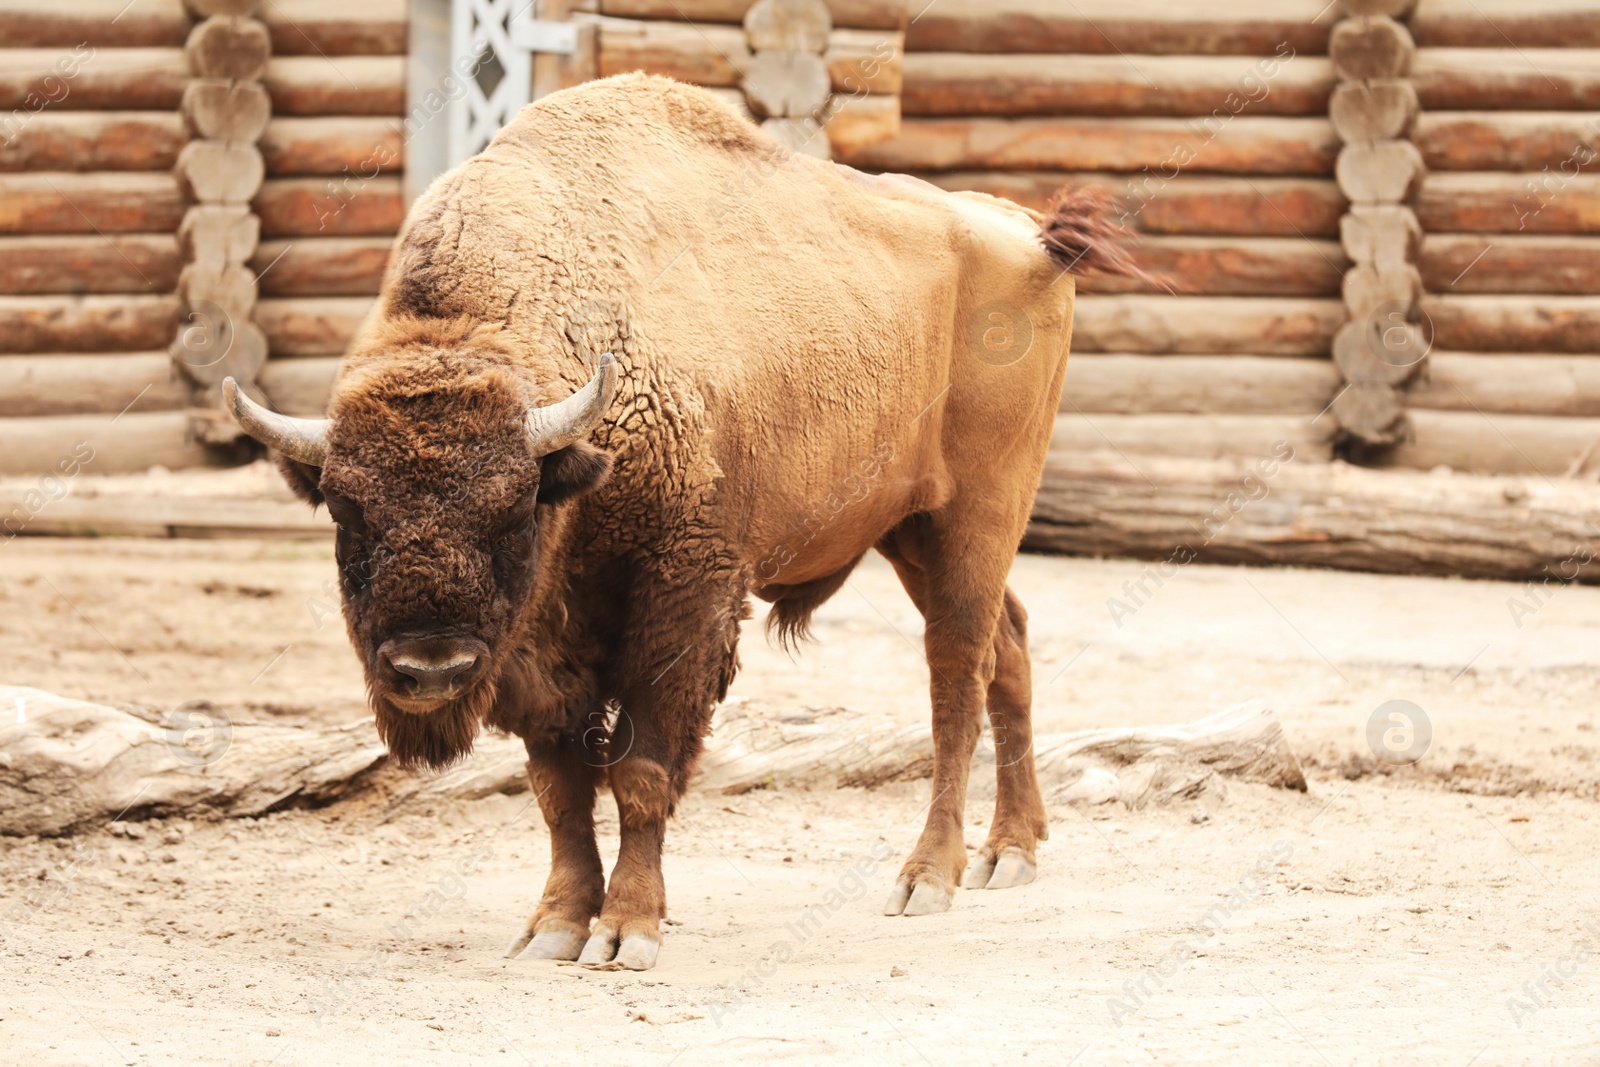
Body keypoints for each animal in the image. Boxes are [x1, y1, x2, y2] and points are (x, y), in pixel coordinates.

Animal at [225, 75, 1139, 972]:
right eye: (347, 510)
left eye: (515, 509)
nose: (430, 668)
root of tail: (1026, 233)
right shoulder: (538, 647)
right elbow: (559, 783)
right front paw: (556, 925)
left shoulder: (681, 597)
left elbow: (640, 769)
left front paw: (628, 930)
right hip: (909, 529)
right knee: (1009, 647)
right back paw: (1010, 852)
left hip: (973, 517)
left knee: (957, 676)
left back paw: (929, 876)